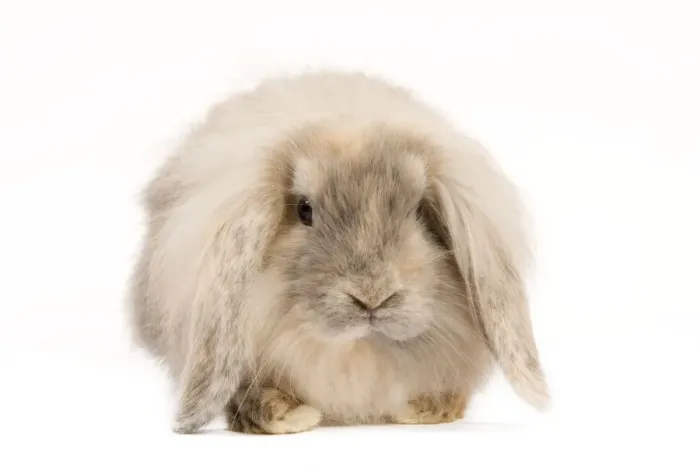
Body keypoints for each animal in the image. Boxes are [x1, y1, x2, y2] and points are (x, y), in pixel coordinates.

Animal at [128, 70, 550, 435]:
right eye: (304, 210)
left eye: (418, 210)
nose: (372, 296)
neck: (353, 353)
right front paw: (290, 416)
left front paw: (425, 408)